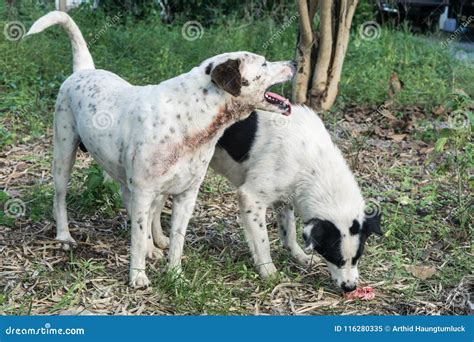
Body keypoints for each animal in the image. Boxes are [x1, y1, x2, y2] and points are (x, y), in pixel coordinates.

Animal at [27, 11, 294, 288]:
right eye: (264, 64)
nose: (295, 62)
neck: (191, 117)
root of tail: (84, 69)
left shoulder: (186, 195)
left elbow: (177, 239)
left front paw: (175, 275)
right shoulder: (143, 192)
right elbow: (136, 237)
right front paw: (138, 276)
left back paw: (154, 245)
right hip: (64, 155)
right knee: (60, 197)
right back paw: (64, 237)